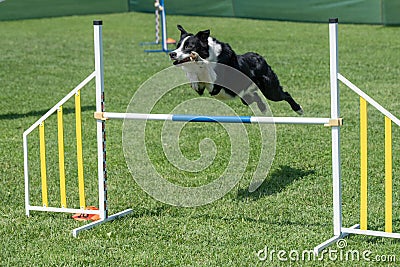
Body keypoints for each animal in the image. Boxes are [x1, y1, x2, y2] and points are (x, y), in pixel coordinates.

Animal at [169, 25, 304, 115]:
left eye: (189, 46)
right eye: (177, 46)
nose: (172, 54)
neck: (209, 54)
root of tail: (259, 56)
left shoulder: (215, 87)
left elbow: (207, 67)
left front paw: (197, 57)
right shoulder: (201, 88)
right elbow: (193, 78)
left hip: (270, 90)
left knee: (285, 94)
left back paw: (298, 109)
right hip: (245, 95)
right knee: (254, 96)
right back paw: (263, 108)